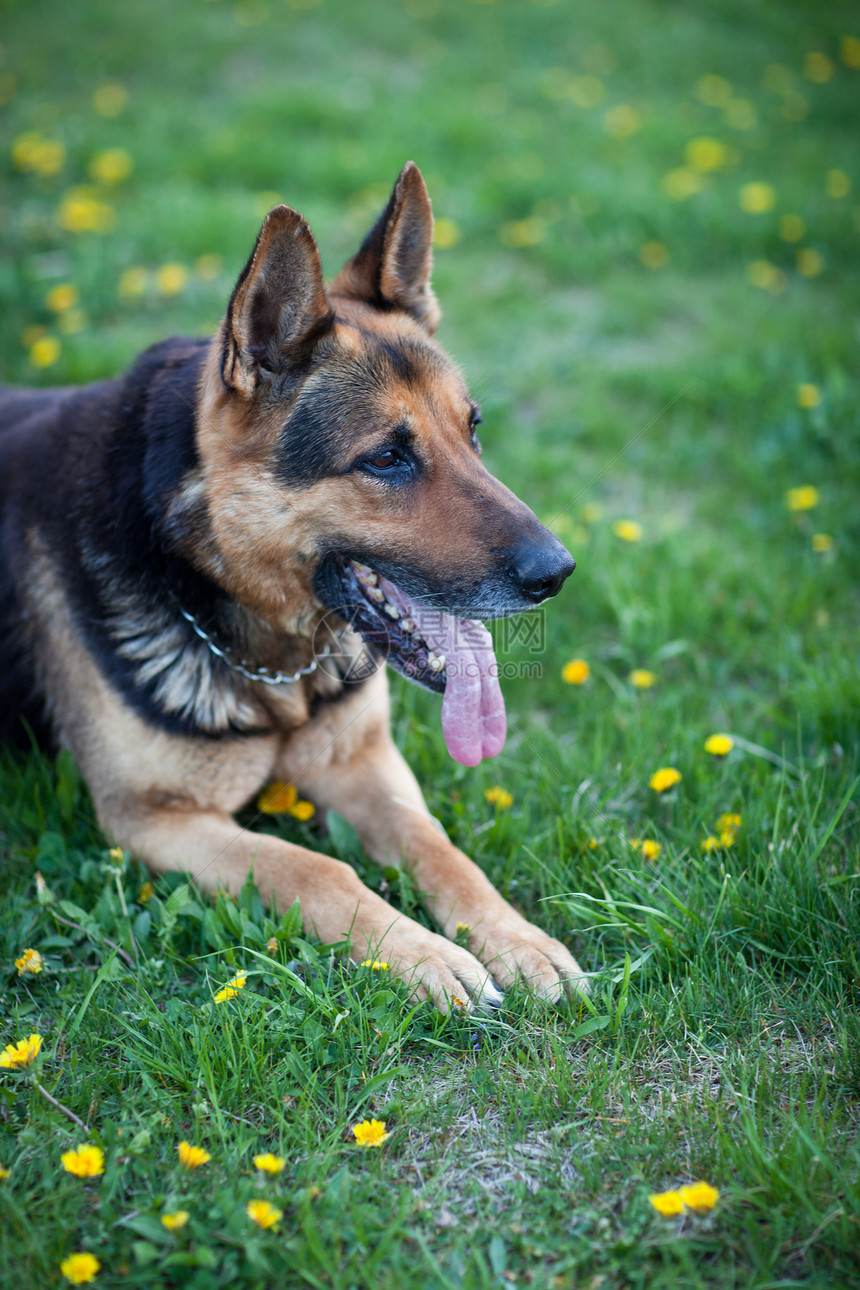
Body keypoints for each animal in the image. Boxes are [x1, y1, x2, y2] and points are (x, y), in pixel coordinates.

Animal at [0, 161, 585, 1006]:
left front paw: (514, 936)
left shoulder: (363, 763)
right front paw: (423, 955)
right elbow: (315, 867)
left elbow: (437, 845)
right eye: (385, 459)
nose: (558, 573)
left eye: (472, 429)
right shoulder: (151, 820)